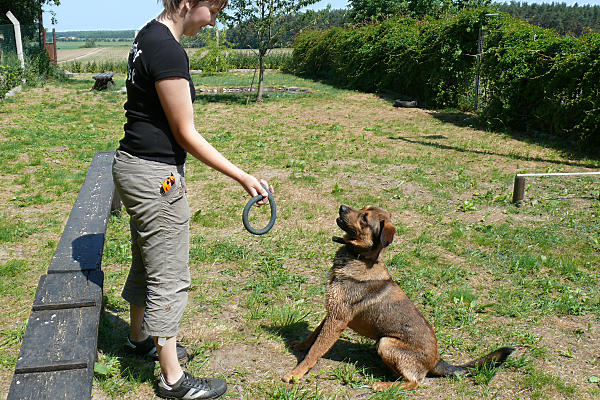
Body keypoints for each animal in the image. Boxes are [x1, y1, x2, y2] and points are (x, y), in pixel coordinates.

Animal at [282, 205, 514, 390]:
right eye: (362, 208)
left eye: (364, 218)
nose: (342, 206)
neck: (360, 258)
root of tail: (436, 360)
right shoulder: (332, 312)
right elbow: (314, 336)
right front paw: (300, 346)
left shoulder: (337, 319)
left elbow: (316, 350)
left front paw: (295, 373)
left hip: (387, 343)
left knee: (415, 382)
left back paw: (383, 386)